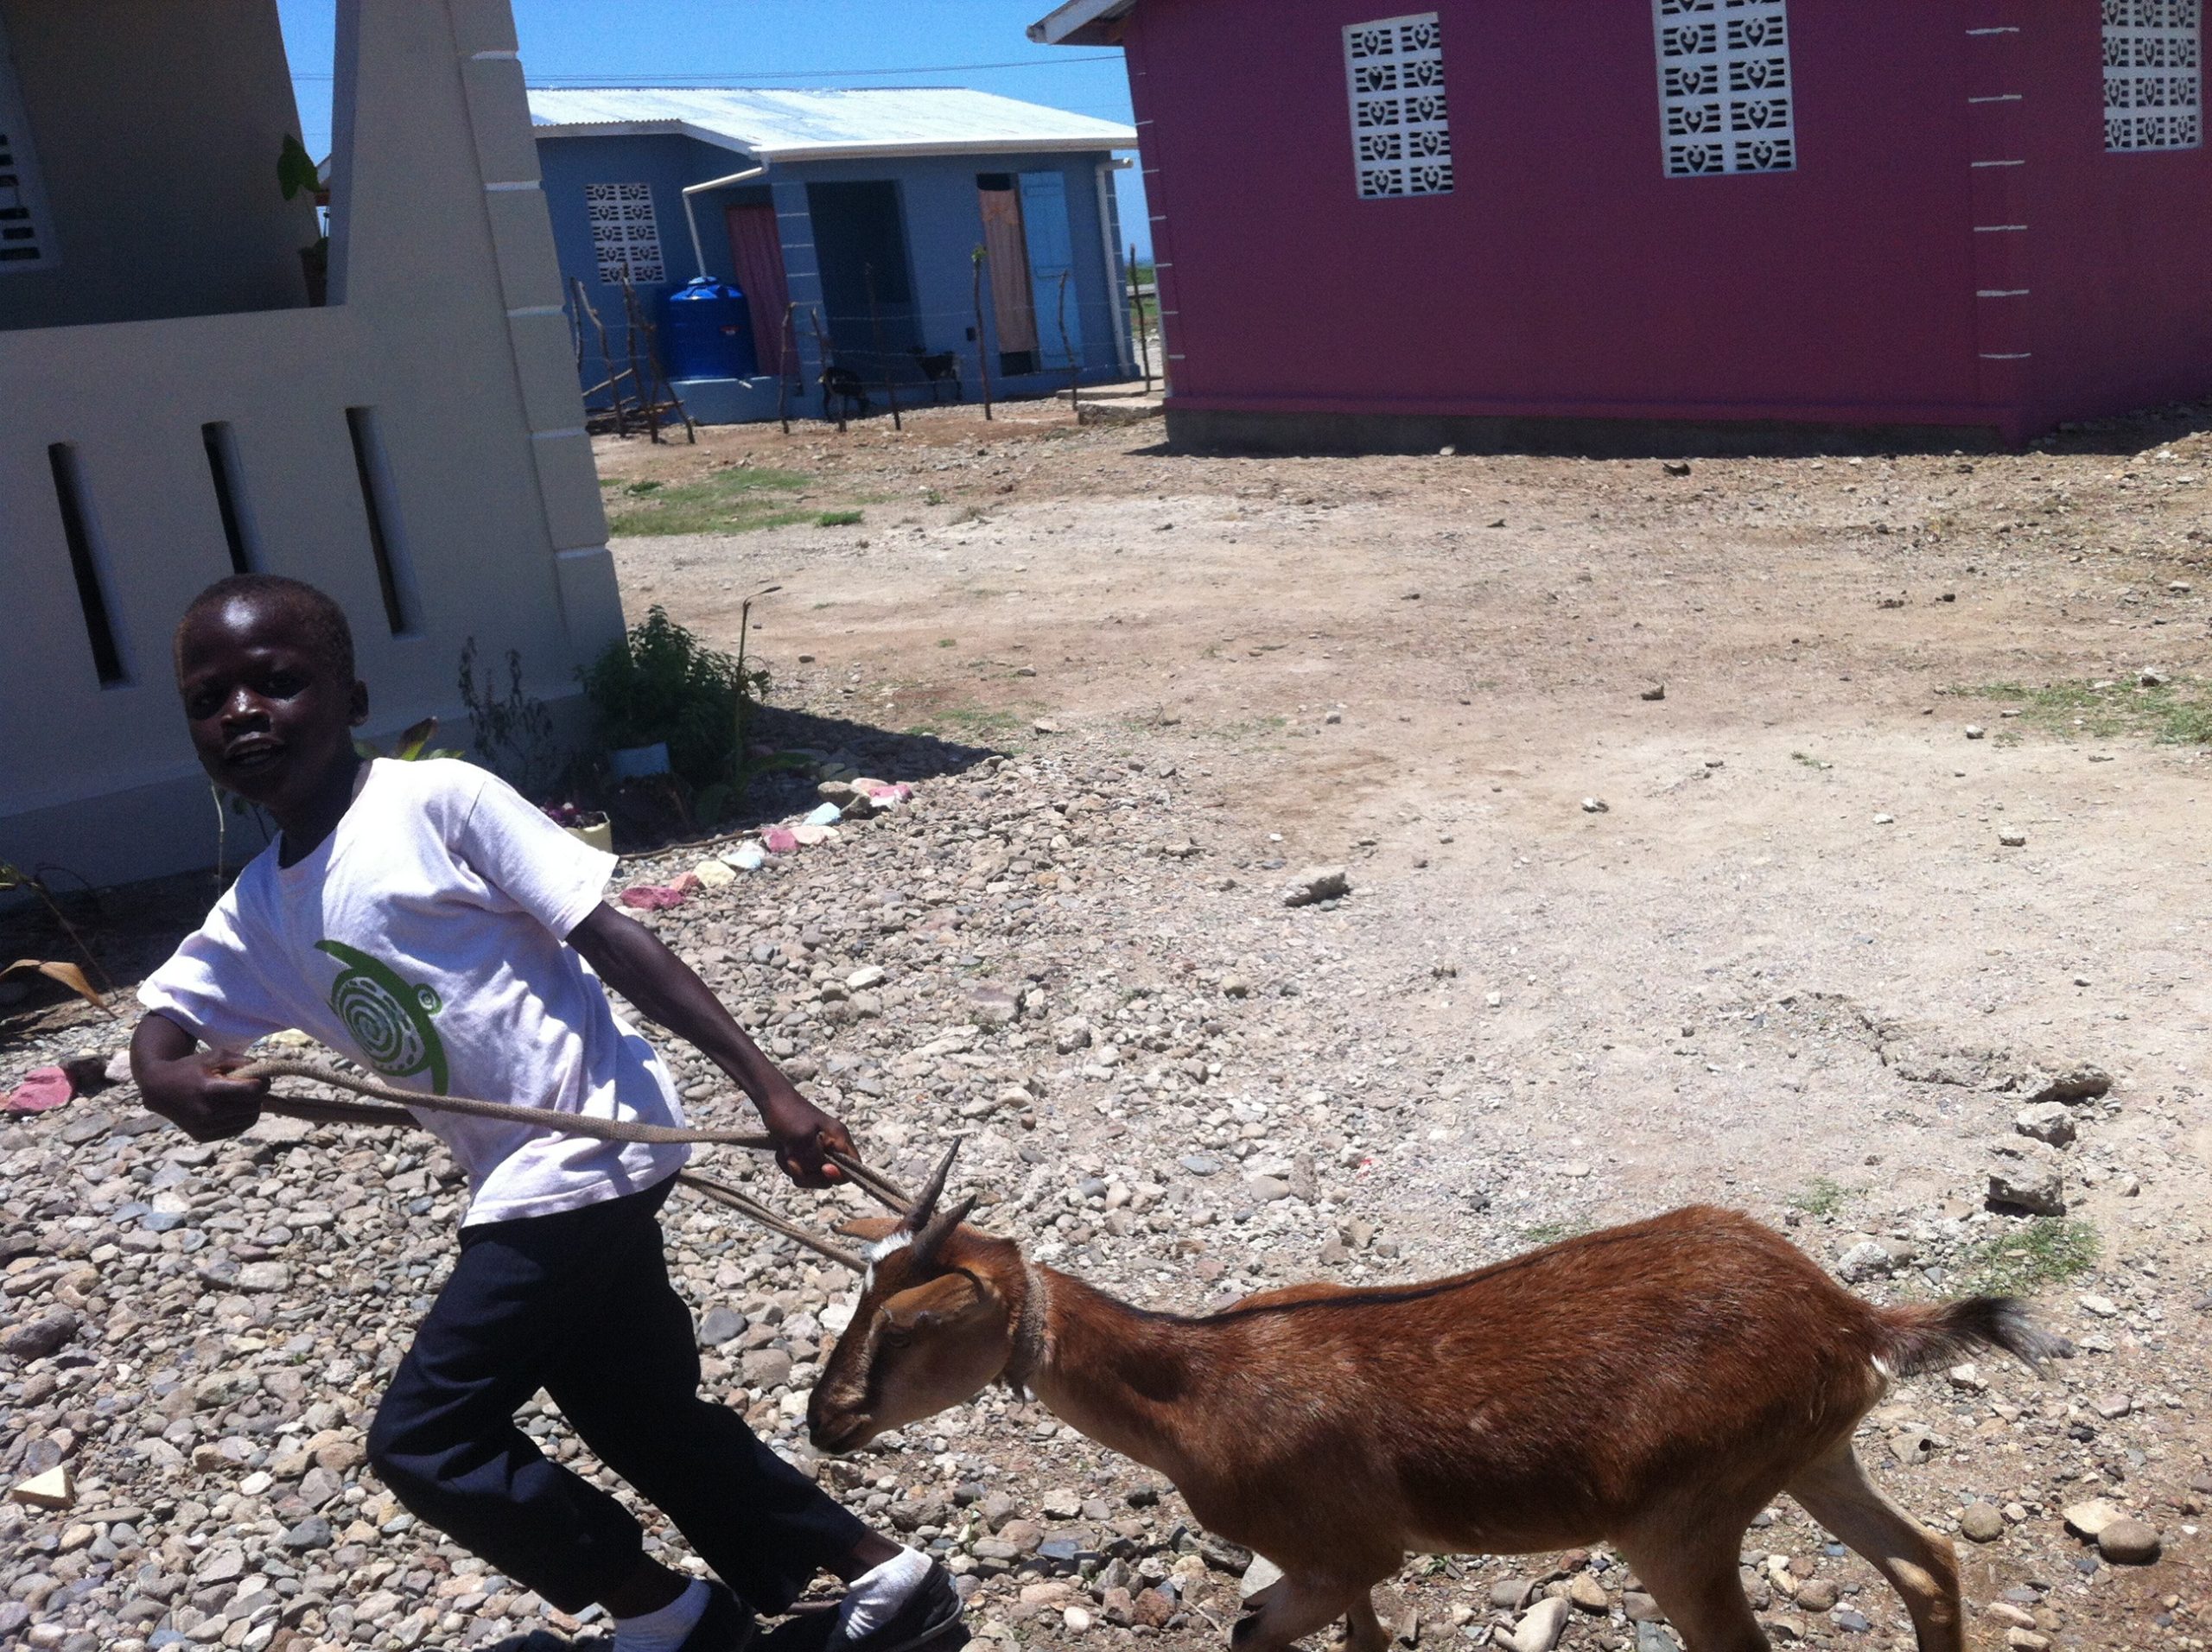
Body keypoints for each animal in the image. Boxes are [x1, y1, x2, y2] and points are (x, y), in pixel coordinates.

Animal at [814, 1159, 2070, 1652]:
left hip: (1682, 1515)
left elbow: (1251, 1631)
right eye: (856, 1290)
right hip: (1813, 1457)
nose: (826, 1419)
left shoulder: (1325, 1553)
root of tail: (1851, 1322)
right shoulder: (1360, 1562)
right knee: (1927, 1566)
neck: (1196, 1395)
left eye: (908, 1324)